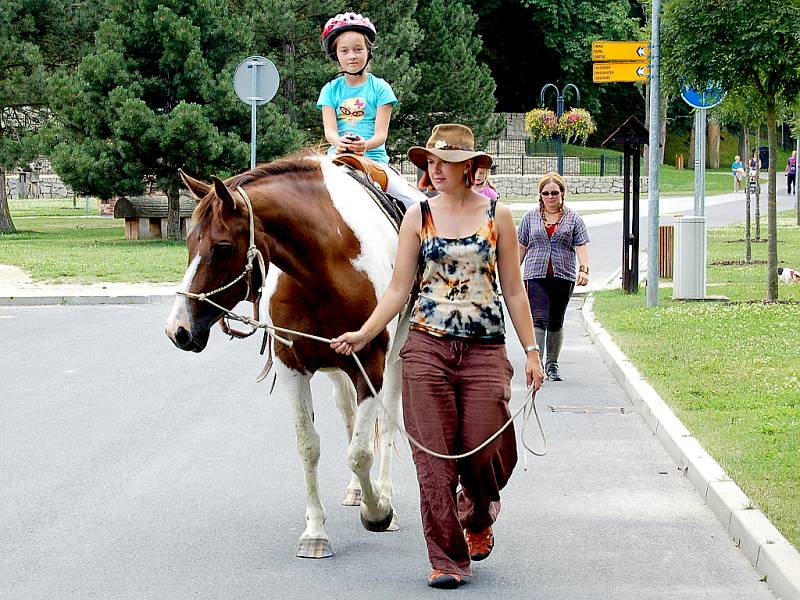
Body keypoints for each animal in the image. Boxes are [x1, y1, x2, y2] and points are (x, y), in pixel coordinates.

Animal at [162, 154, 412, 556]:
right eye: (188, 240)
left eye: (222, 247)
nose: (178, 329)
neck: (329, 266)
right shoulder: (292, 365)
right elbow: (308, 445)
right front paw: (315, 531)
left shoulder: (370, 364)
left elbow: (361, 452)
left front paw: (378, 512)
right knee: (347, 414)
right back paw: (358, 490)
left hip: (395, 358)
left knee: (386, 424)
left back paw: (384, 495)